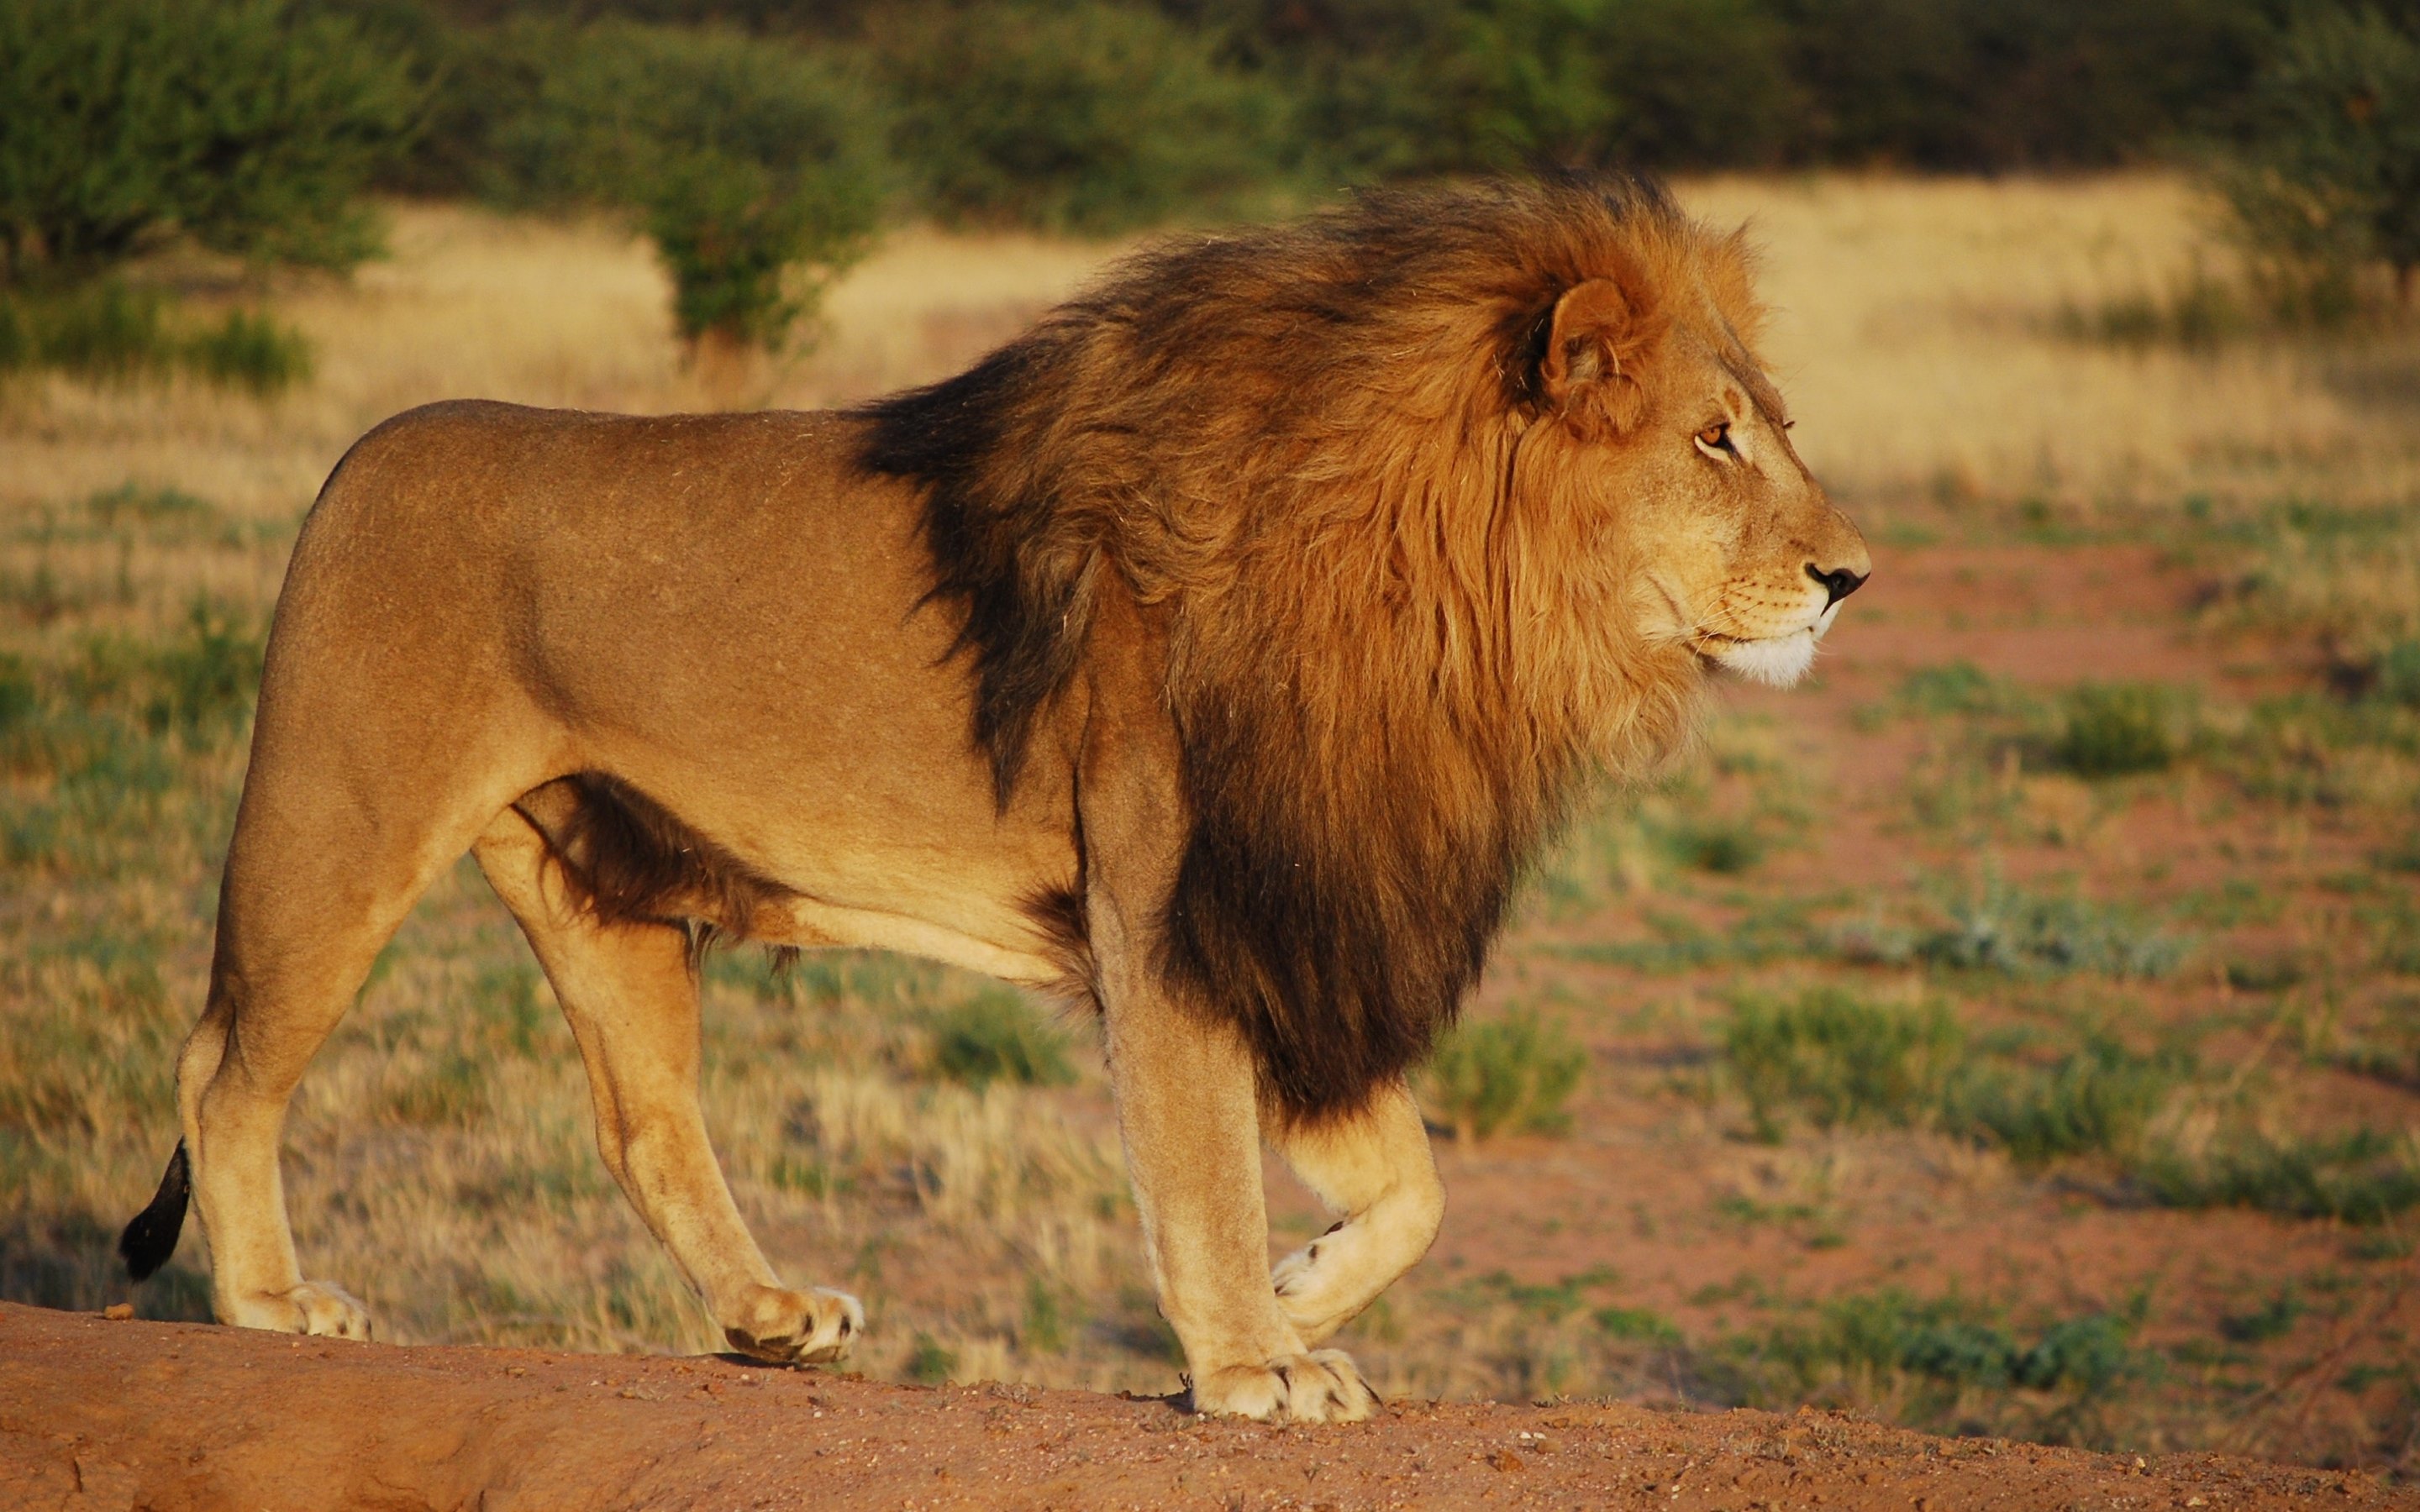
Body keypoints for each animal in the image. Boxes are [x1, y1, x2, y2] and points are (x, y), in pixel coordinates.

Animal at [123, 171, 1868, 1422]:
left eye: (1775, 430)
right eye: (1714, 442)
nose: (1853, 577)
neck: (1447, 604)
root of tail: (358, 454)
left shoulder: (1286, 910)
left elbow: (1415, 1181)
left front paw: (1302, 1293)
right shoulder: (1174, 909)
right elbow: (1203, 1163)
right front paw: (1251, 1365)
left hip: (595, 881)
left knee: (644, 1124)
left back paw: (771, 1321)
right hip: (339, 819)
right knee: (224, 1063)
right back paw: (273, 1302)